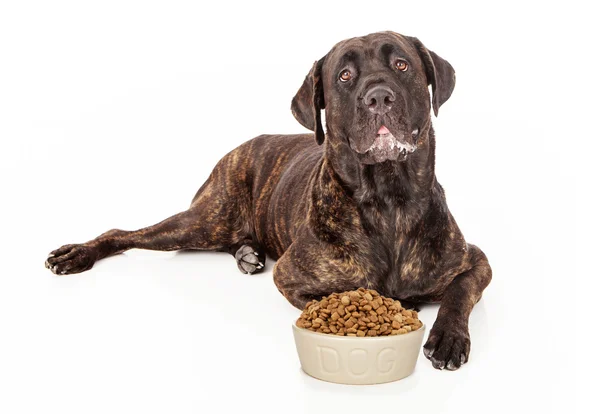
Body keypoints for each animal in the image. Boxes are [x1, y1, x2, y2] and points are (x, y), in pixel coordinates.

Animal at [45, 31, 492, 368]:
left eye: (401, 65)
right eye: (344, 76)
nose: (378, 96)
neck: (388, 201)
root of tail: (238, 147)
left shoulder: (476, 261)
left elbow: (459, 293)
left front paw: (449, 337)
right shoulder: (292, 278)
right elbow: (335, 297)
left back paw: (248, 253)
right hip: (202, 221)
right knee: (125, 232)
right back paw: (77, 254)